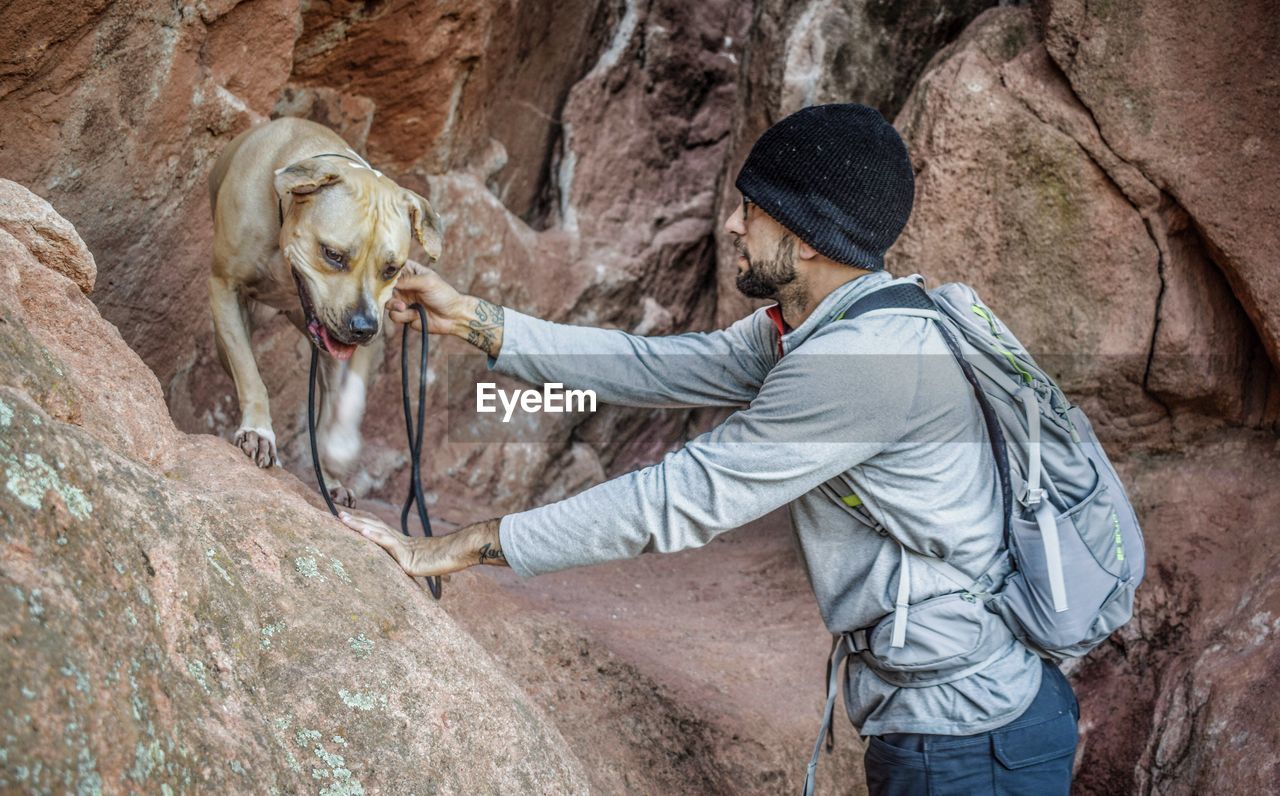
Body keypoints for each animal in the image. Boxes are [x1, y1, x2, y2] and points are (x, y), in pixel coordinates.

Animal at [207, 116, 442, 509]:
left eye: (391, 269)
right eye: (332, 254)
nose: (362, 327)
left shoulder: (367, 335)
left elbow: (347, 399)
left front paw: (339, 448)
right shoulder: (225, 287)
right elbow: (250, 373)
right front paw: (259, 431)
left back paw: (330, 478)